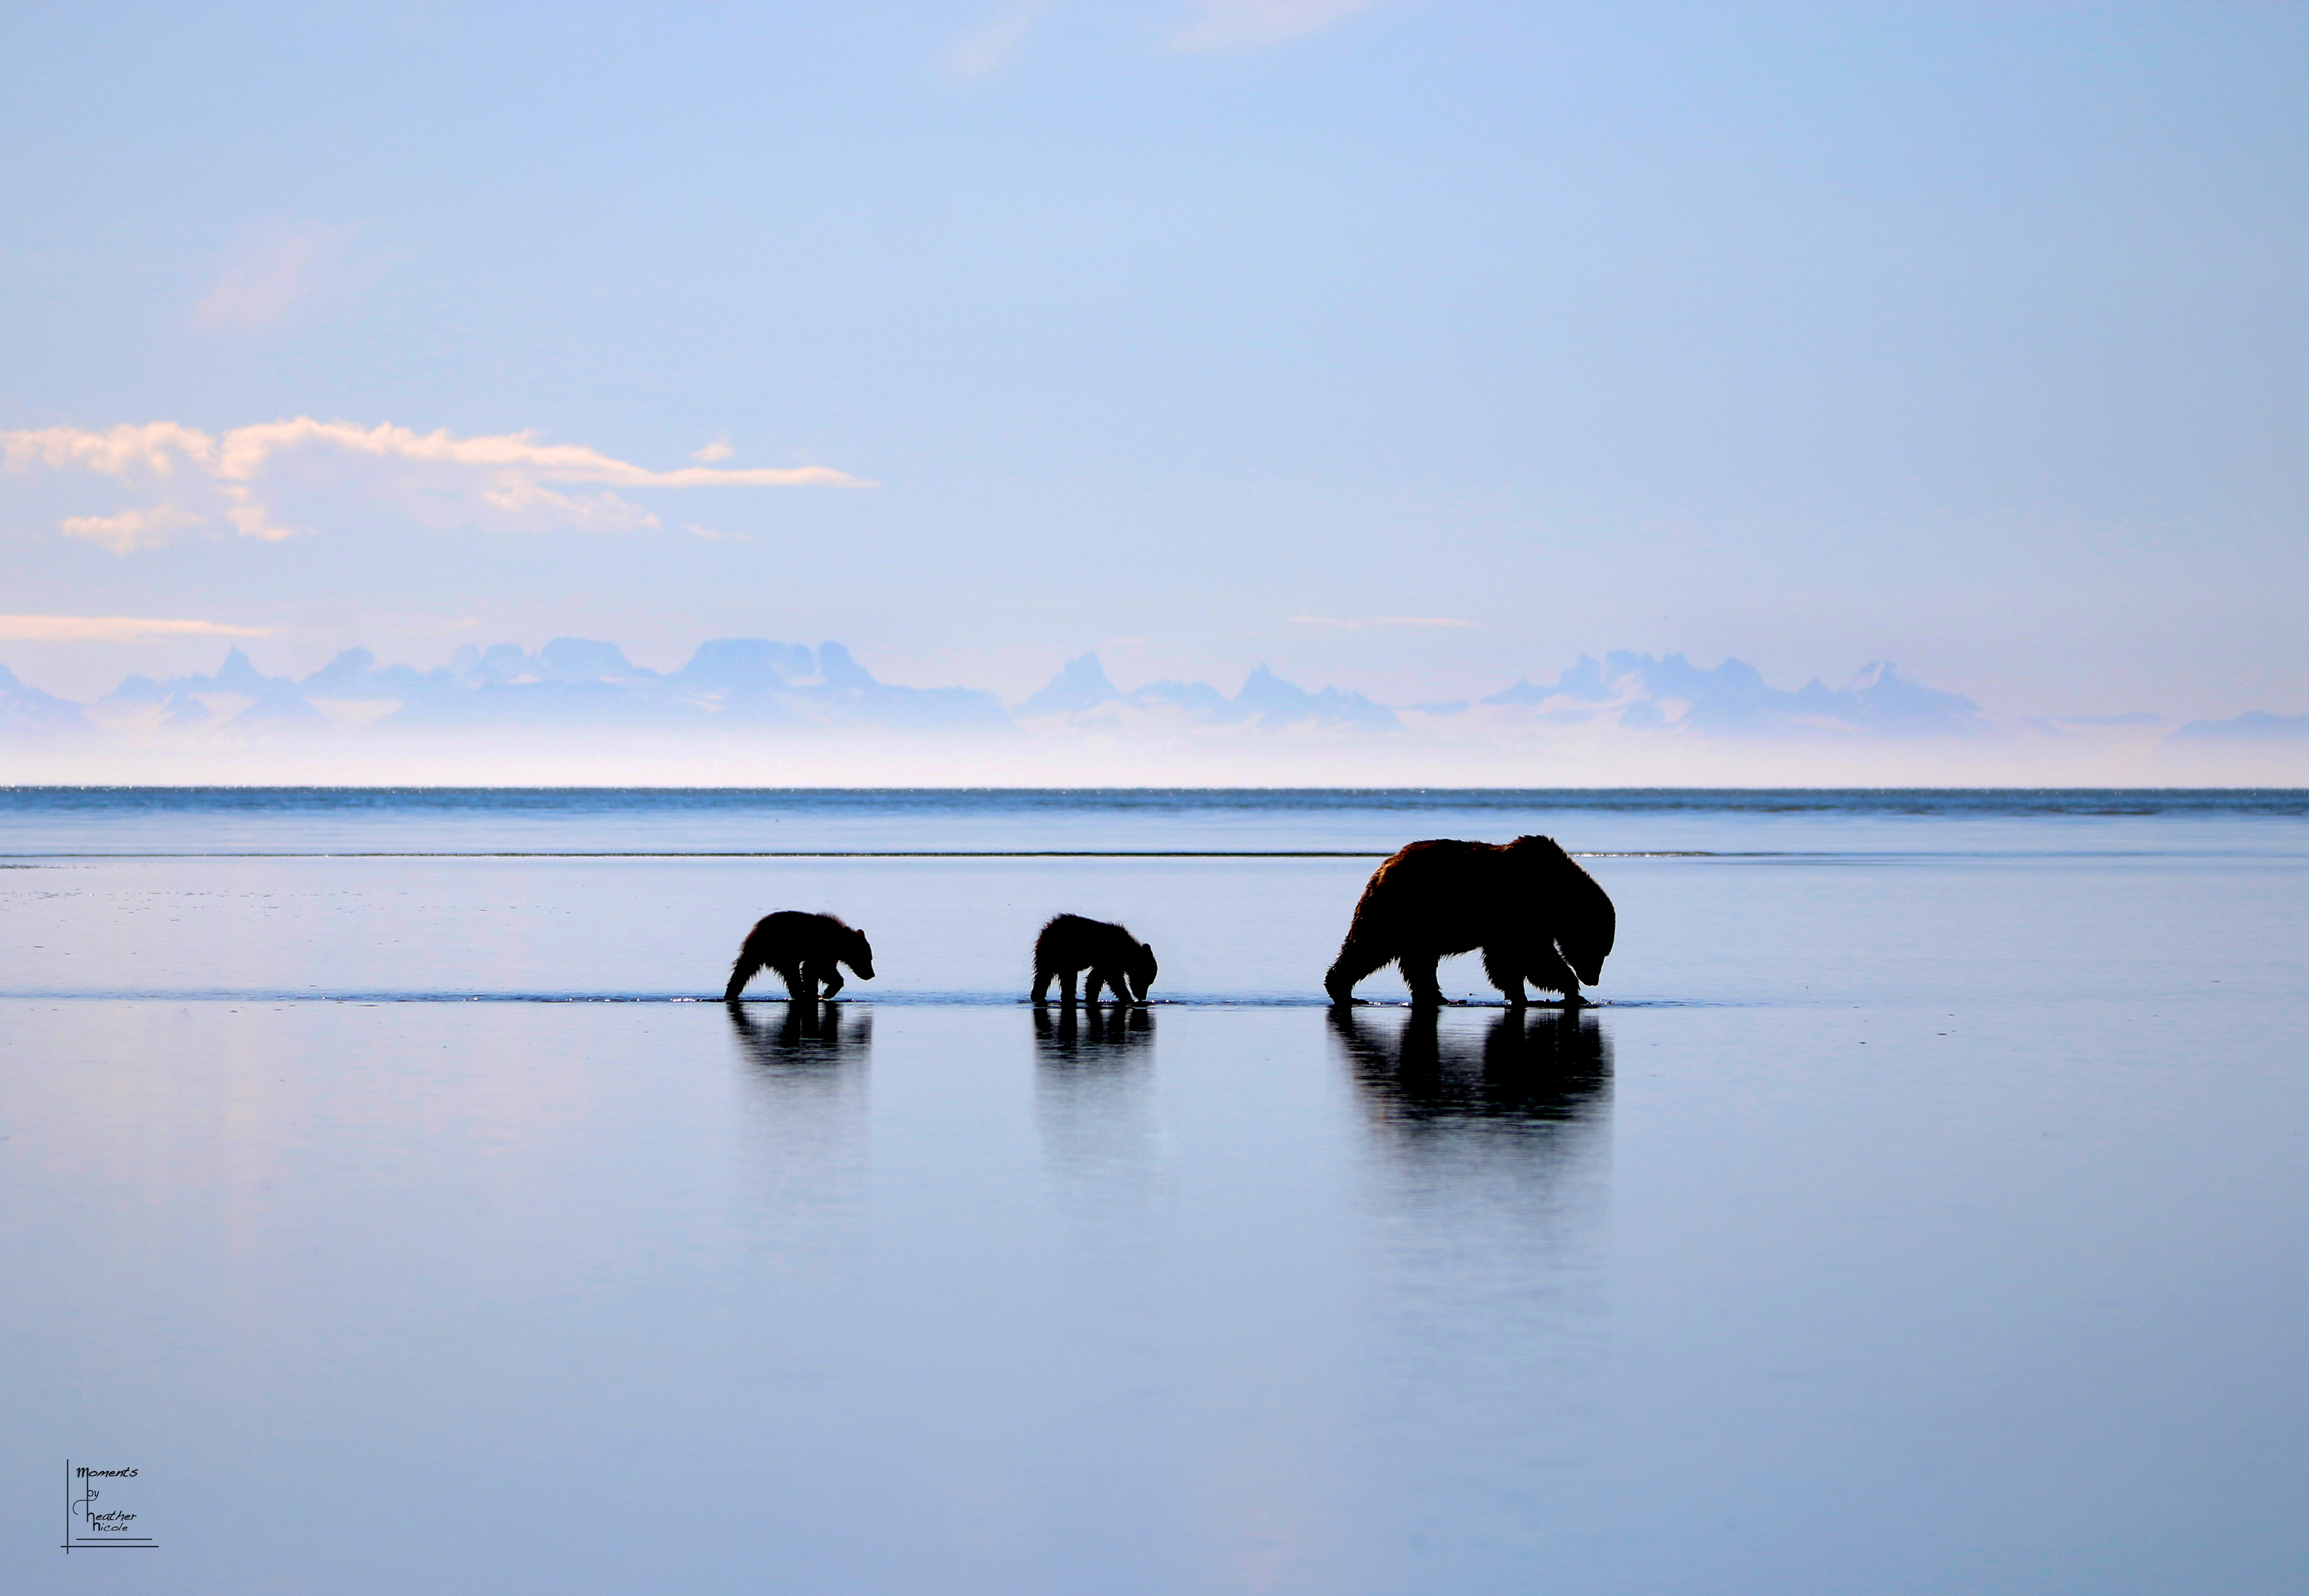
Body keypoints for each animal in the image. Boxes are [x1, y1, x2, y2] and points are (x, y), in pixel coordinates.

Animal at [724, 911, 876, 1003]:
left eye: (870, 958)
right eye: (865, 958)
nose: (871, 975)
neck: (837, 943)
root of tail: (756, 929)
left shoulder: (829, 956)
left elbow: (814, 972)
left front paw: (816, 993)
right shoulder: (821, 951)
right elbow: (816, 969)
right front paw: (824, 993)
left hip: (761, 952)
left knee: (744, 971)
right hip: (781, 951)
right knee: (791, 973)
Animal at [1032, 915, 1158, 1006]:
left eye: (1149, 981)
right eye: (1146, 980)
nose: (1142, 997)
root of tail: (1046, 931)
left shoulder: (1105, 962)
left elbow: (1096, 978)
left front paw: (1091, 997)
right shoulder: (1109, 959)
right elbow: (1114, 980)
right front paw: (1127, 998)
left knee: (1045, 977)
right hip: (1062, 955)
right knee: (1065, 978)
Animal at [1323, 835, 1614, 1008]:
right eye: (1599, 949)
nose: (1593, 979)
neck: (1557, 895)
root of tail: (1384, 866)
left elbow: (1514, 960)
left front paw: (1523, 995)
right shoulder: (1517, 912)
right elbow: (1529, 958)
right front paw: (1570, 990)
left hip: (1419, 924)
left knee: (1416, 961)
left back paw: (1438, 996)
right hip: (1401, 909)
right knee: (1369, 947)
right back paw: (1343, 989)